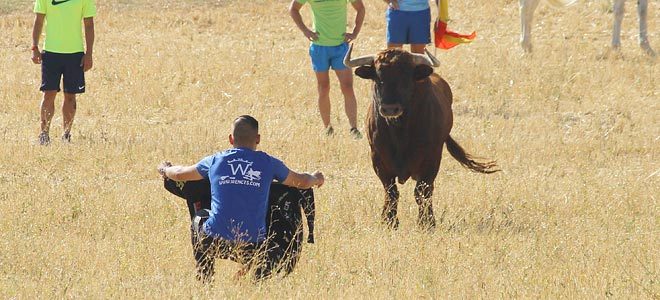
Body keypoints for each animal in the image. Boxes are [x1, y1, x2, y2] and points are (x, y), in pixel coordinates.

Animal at [346, 44, 496, 227]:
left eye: (406, 76)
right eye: (377, 76)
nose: (390, 108)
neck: (400, 131)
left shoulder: (431, 159)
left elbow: (422, 192)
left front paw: (427, 222)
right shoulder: (378, 158)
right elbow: (391, 191)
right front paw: (389, 221)